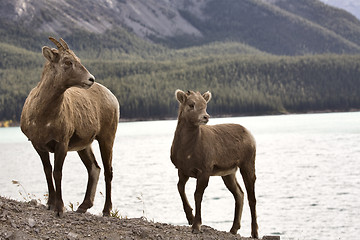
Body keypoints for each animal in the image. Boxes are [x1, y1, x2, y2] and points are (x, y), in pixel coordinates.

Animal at [20, 37, 119, 218]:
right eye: (67, 62)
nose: (90, 79)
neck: (44, 117)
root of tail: (112, 97)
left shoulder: (62, 144)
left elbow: (57, 173)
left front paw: (59, 209)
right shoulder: (39, 145)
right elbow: (47, 171)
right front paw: (50, 204)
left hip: (107, 138)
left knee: (108, 171)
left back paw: (106, 211)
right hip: (85, 146)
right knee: (94, 168)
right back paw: (83, 206)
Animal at [170, 90, 258, 238]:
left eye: (205, 104)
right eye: (191, 104)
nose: (205, 117)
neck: (187, 152)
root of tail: (251, 136)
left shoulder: (204, 171)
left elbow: (197, 195)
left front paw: (196, 225)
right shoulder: (182, 170)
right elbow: (180, 188)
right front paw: (190, 218)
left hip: (247, 164)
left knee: (252, 197)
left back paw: (254, 232)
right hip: (229, 173)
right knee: (239, 194)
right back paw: (233, 229)